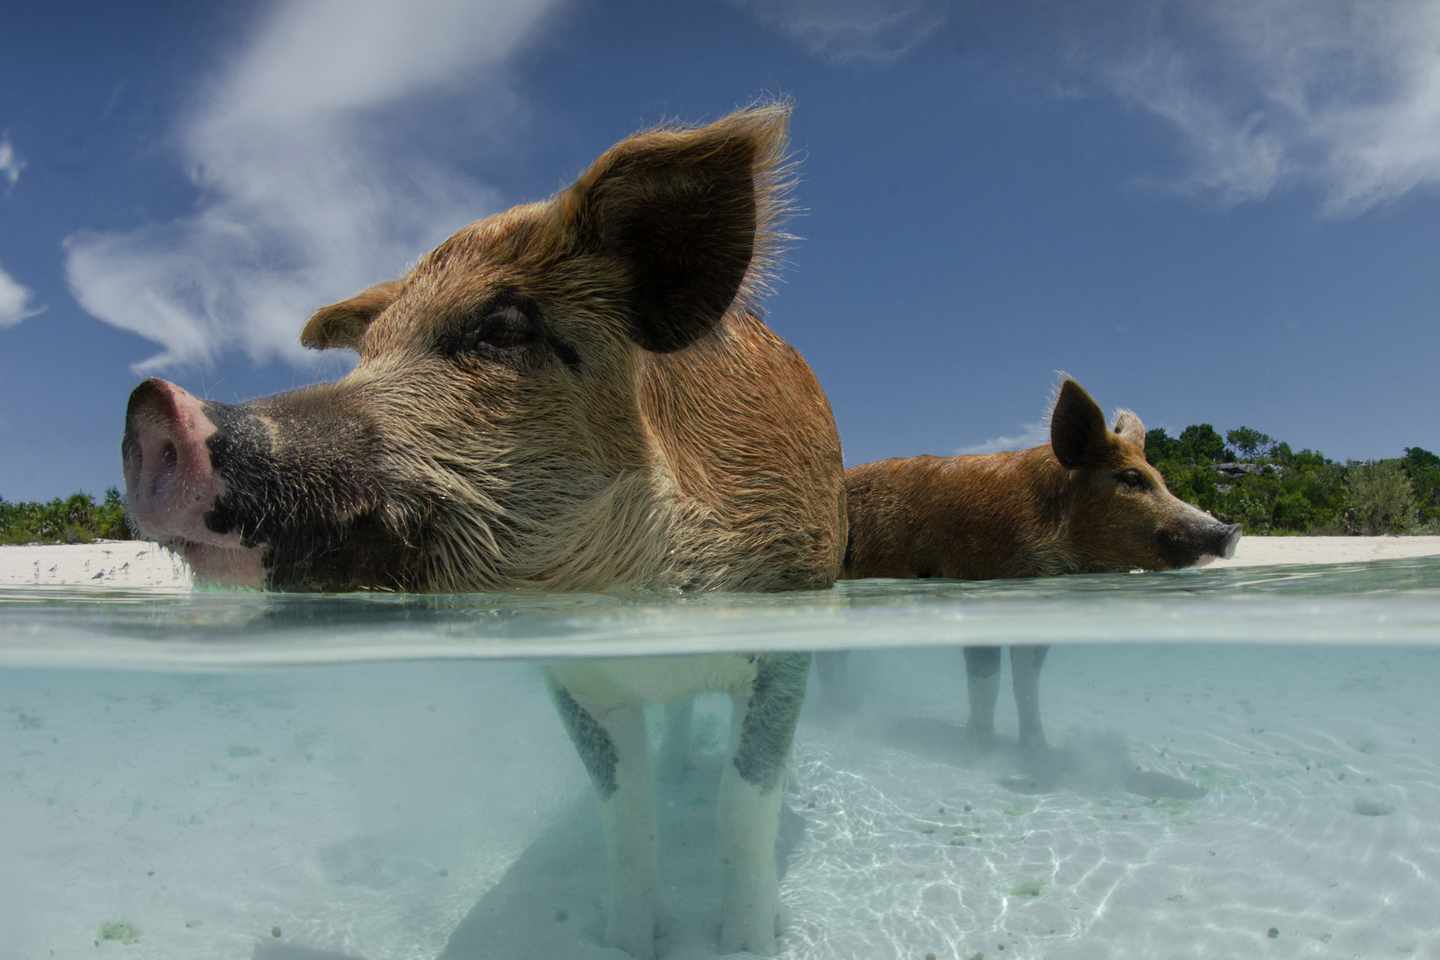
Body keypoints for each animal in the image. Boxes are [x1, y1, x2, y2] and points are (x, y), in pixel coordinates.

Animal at [121, 104, 845, 958]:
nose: (153, 404)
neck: (633, 596)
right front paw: (630, 938)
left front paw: (747, 941)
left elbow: (744, 796)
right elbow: (624, 807)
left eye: (501, 329)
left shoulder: (792, 617)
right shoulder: (569, 679)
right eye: (366, 356)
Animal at [834, 378, 1239, 750]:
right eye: (1131, 478)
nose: (1231, 530)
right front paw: (980, 747)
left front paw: (1037, 750)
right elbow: (986, 679)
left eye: (1161, 480)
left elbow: (1025, 681)